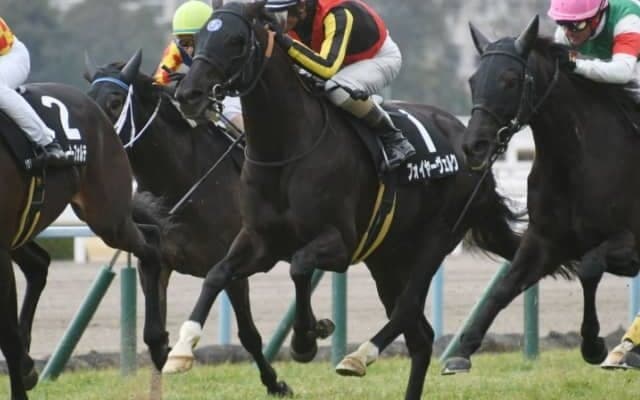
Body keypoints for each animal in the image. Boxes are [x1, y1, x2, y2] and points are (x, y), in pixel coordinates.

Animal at [84, 50, 336, 396]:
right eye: (87, 99)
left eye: (114, 101)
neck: (183, 180)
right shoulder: (155, 262)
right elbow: (153, 335)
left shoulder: (232, 266)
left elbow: (249, 335)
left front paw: (276, 383)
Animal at [164, 2, 522, 399]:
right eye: (199, 39)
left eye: (236, 40)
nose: (189, 94)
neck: (285, 149)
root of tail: (469, 141)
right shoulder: (259, 241)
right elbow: (216, 274)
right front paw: (181, 350)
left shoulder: (338, 243)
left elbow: (300, 267)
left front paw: (307, 337)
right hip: (386, 259)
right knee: (420, 337)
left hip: (436, 240)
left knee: (409, 310)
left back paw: (358, 356)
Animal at [441, 16, 640, 375]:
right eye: (473, 79)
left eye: (509, 80)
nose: (473, 145)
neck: (575, 161)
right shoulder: (545, 240)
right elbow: (504, 288)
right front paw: (463, 350)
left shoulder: (628, 239)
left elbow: (590, 268)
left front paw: (593, 344)